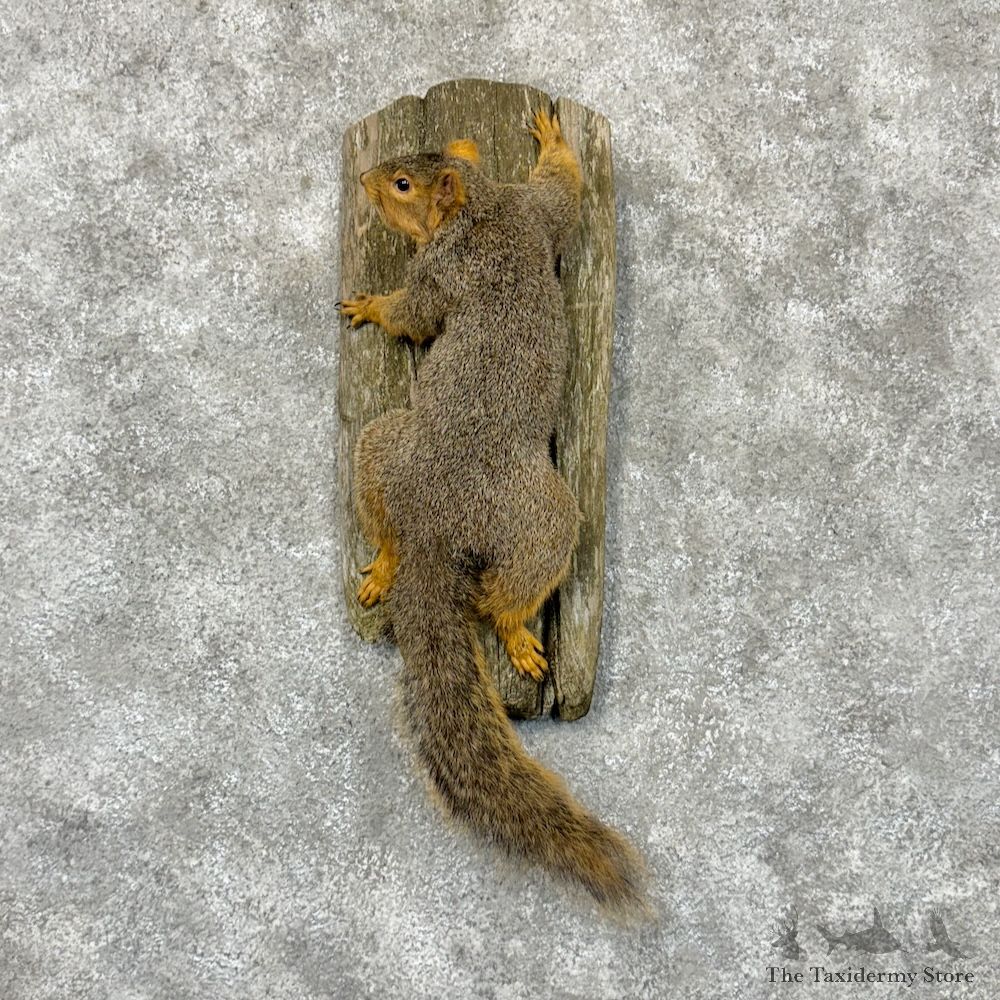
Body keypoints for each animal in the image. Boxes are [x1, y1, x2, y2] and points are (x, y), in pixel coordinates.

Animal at [339, 109, 647, 914]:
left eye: (402, 184)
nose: (363, 180)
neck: (479, 208)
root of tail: (437, 528)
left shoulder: (446, 266)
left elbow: (415, 314)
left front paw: (372, 304)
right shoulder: (527, 215)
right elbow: (562, 196)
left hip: (515, 503)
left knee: (494, 598)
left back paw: (508, 627)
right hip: (404, 459)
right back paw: (387, 568)